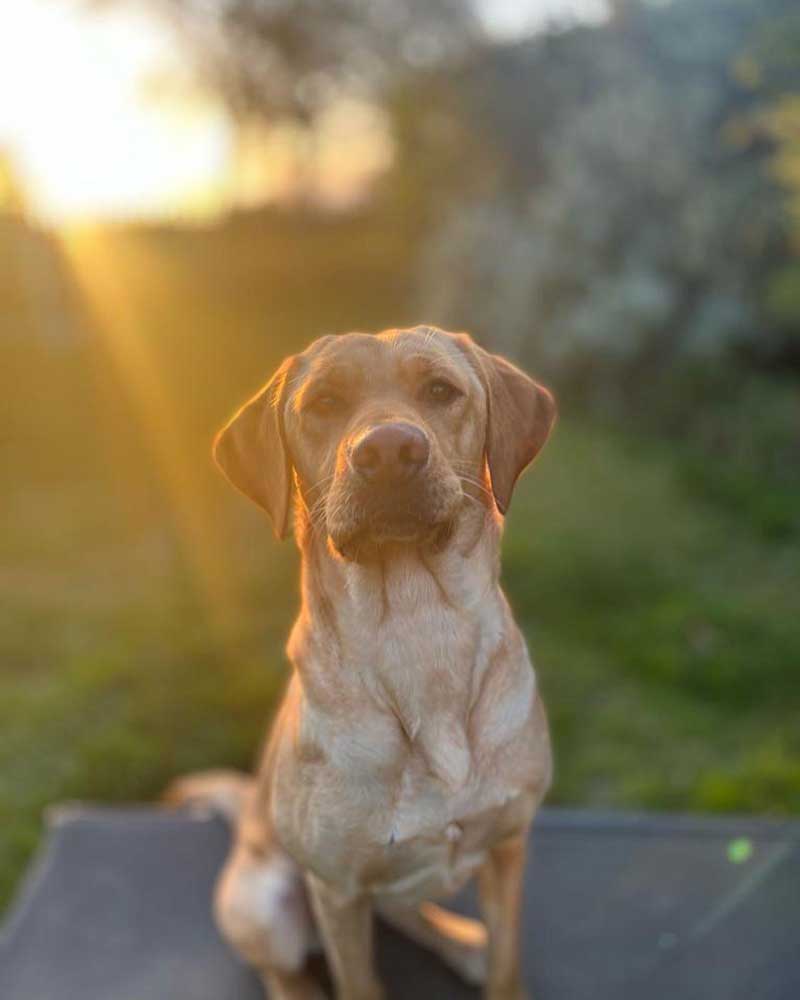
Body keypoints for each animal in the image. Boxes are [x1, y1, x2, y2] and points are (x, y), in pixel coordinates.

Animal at [169, 328, 556, 1000]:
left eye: (440, 391)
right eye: (323, 402)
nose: (389, 450)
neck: (417, 630)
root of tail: (247, 817)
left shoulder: (509, 847)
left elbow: (507, 964)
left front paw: (495, 964)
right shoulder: (339, 892)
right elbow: (358, 981)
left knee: (415, 914)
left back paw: (467, 943)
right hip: (263, 905)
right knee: (284, 970)